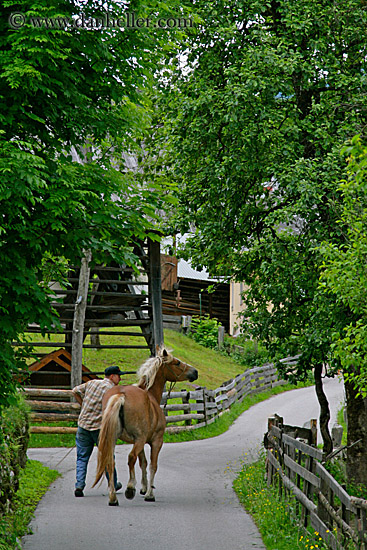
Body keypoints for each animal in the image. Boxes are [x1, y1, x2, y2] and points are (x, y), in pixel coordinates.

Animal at [93, 350, 200, 508]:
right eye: (177, 363)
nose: (195, 372)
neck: (150, 395)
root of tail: (121, 394)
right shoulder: (155, 441)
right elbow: (152, 466)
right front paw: (149, 493)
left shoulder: (140, 442)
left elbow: (142, 462)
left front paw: (143, 488)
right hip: (138, 439)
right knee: (130, 458)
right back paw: (130, 488)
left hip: (112, 438)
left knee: (110, 463)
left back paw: (113, 497)